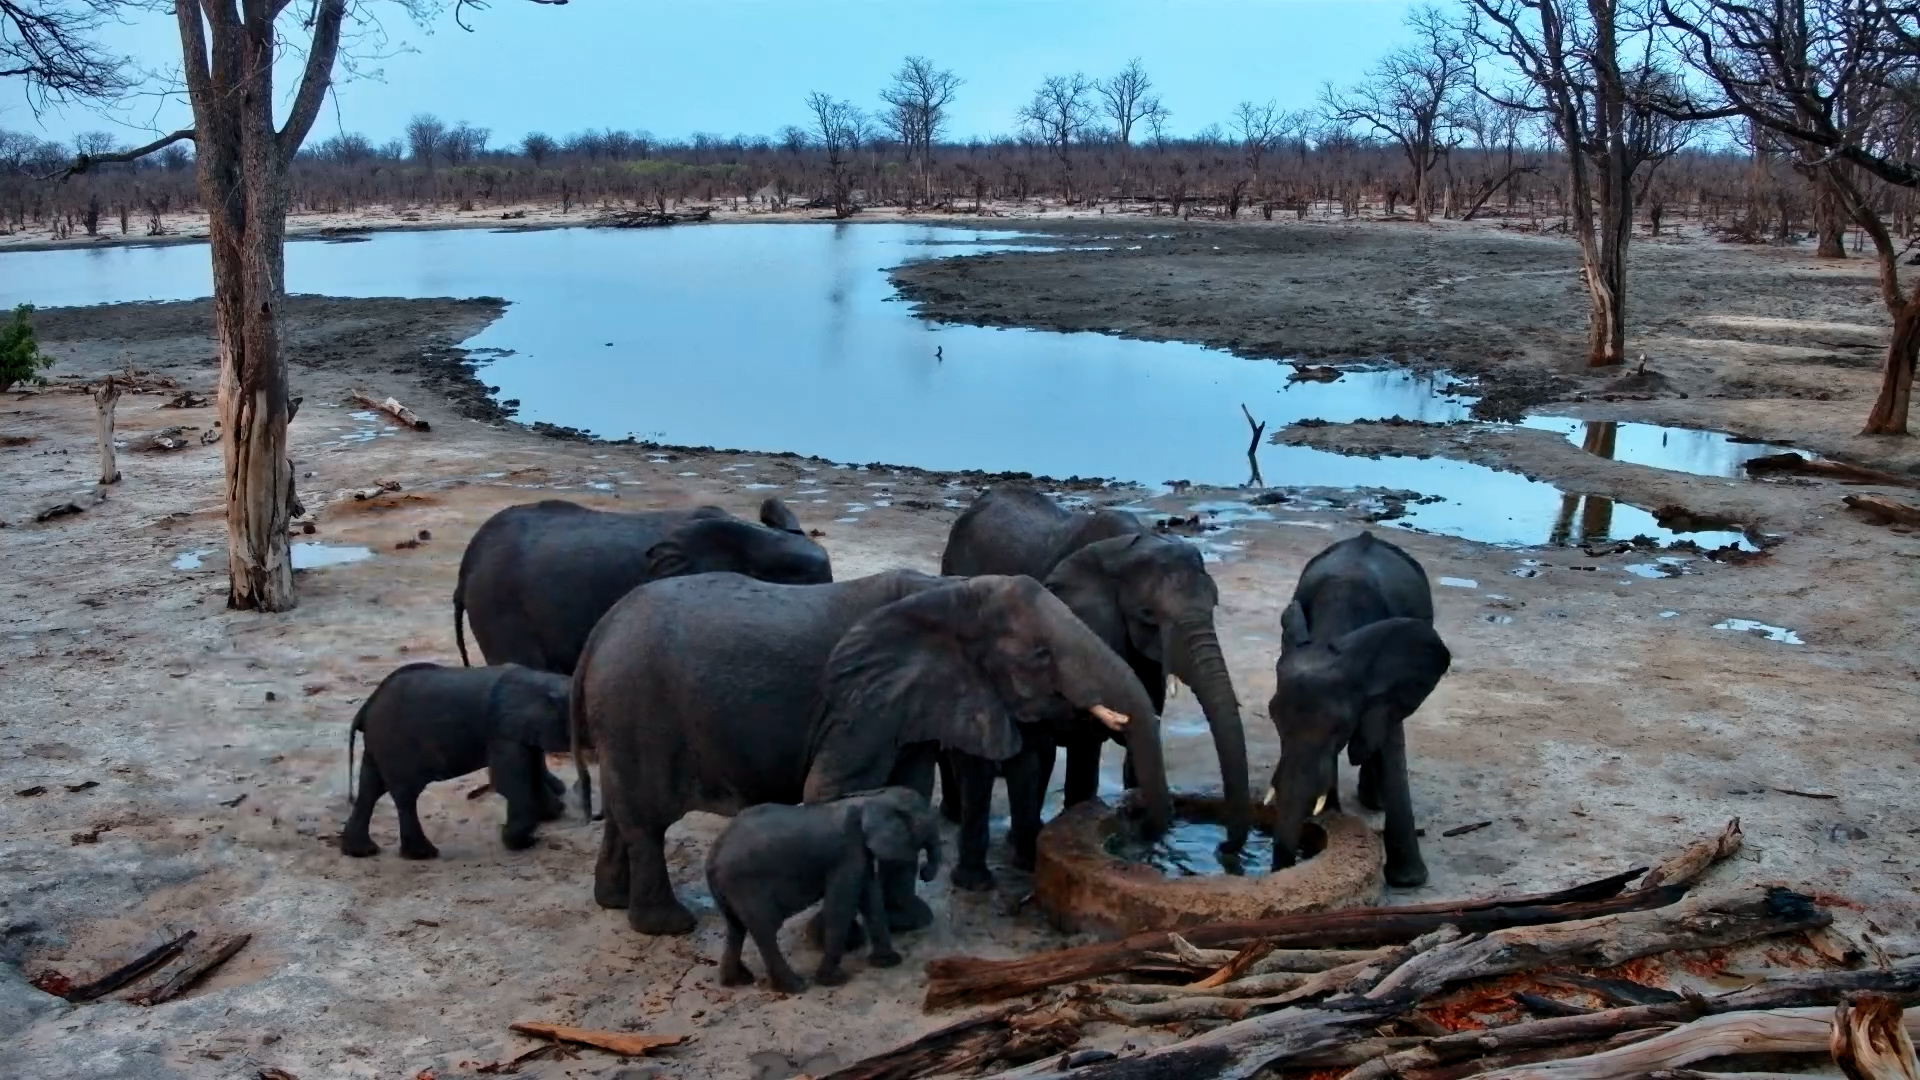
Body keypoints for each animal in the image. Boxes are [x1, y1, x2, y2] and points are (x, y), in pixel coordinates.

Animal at [340, 662, 572, 859]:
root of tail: (365, 708)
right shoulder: (502, 733)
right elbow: (511, 783)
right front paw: (526, 842)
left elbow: (533, 770)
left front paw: (552, 814)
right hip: (394, 744)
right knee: (404, 796)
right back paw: (424, 855)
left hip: (379, 744)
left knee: (370, 789)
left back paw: (361, 852)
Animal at [573, 571, 1168, 934]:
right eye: (1041, 656)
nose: (1137, 816)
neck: (950, 592)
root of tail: (597, 633)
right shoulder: (860, 700)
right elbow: (833, 791)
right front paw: (843, 936)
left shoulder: (908, 703)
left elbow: (910, 791)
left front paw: (910, 922)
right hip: (637, 707)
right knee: (646, 821)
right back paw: (668, 926)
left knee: (623, 814)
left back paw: (612, 903)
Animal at [706, 787, 941, 993]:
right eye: (926, 825)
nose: (924, 872)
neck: (872, 799)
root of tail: (712, 857)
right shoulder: (846, 852)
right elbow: (841, 904)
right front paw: (833, 980)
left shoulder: (860, 852)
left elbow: (869, 896)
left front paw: (888, 962)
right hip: (746, 885)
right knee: (764, 930)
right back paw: (795, 986)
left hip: (728, 889)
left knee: (735, 927)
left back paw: (736, 981)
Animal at [1268, 531, 1452, 888]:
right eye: (1273, 718)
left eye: (1340, 727)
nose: (1294, 861)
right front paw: (1329, 816)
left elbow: (1389, 737)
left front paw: (1409, 882)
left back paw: (1374, 802)